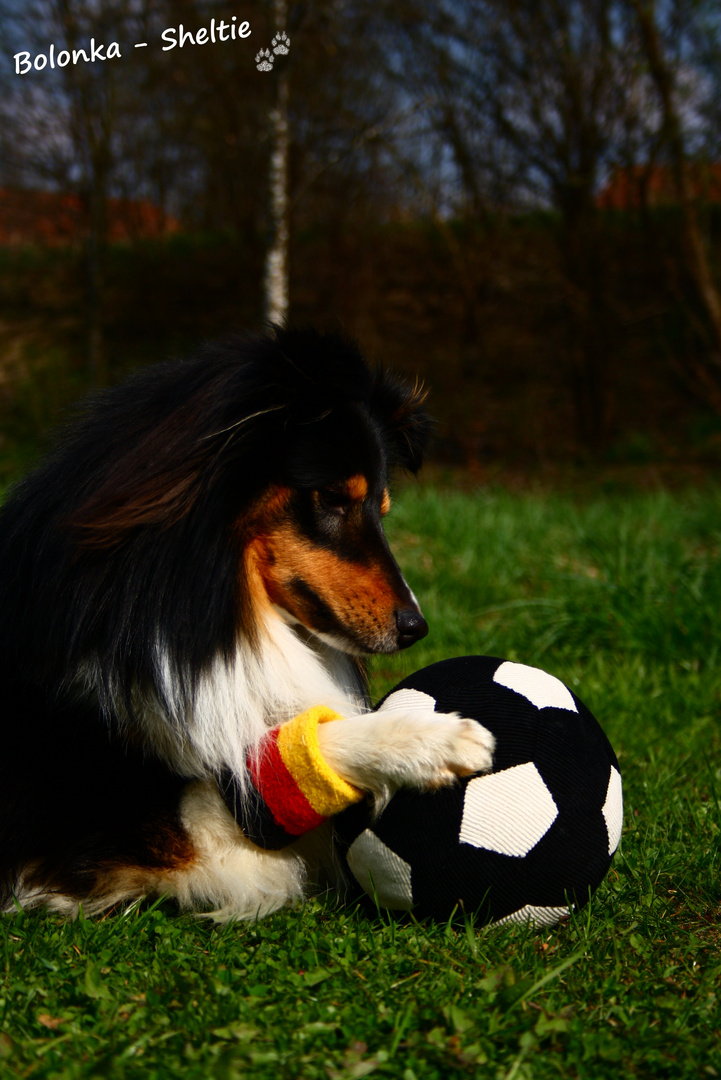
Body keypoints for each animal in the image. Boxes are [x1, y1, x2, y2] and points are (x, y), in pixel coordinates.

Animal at [0, 324, 492, 915]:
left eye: (381, 509)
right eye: (332, 498)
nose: (416, 628)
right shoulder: (111, 826)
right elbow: (277, 762)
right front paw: (431, 738)